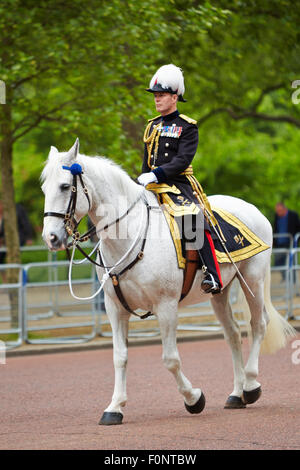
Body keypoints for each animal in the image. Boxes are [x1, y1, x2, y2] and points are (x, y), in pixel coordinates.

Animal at [41, 140, 296, 426]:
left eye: (65, 186)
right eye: (44, 188)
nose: (51, 238)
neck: (129, 235)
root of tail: (252, 208)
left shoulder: (166, 306)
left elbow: (170, 359)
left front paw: (194, 399)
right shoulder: (115, 308)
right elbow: (120, 357)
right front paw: (114, 407)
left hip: (253, 278)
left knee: (258, 324)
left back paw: (251, 386)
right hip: (220, 292)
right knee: (232, 334)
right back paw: (236, 393)